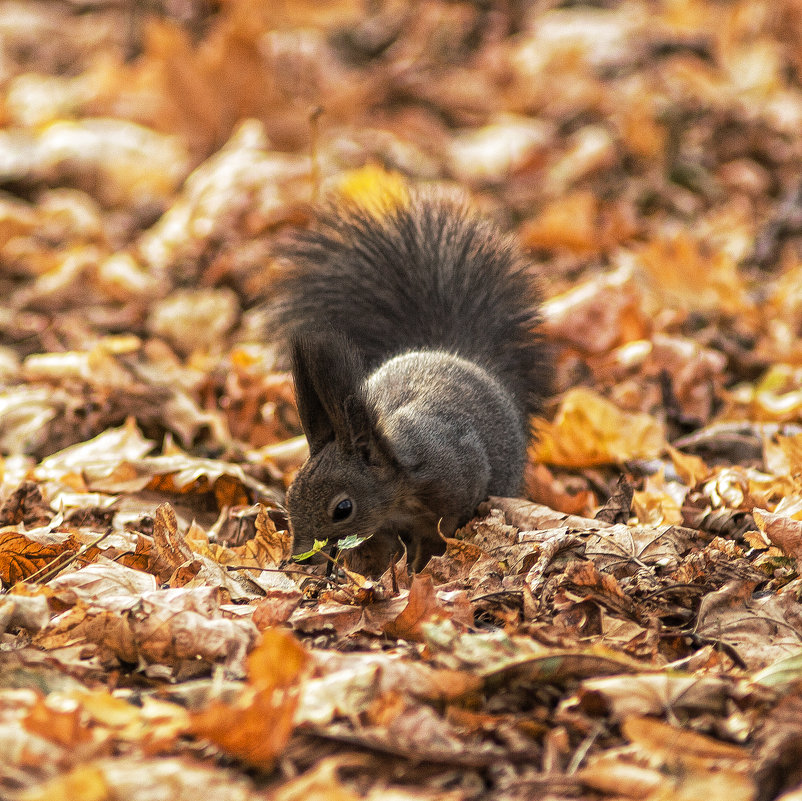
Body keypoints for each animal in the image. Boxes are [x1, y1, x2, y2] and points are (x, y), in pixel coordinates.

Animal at [272, 177, 548, 576]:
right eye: (290, 494)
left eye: (343, 509)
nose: (298, 558)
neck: (400, 485)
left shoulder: (454, 485)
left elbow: (438, 537)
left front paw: (420, 571)